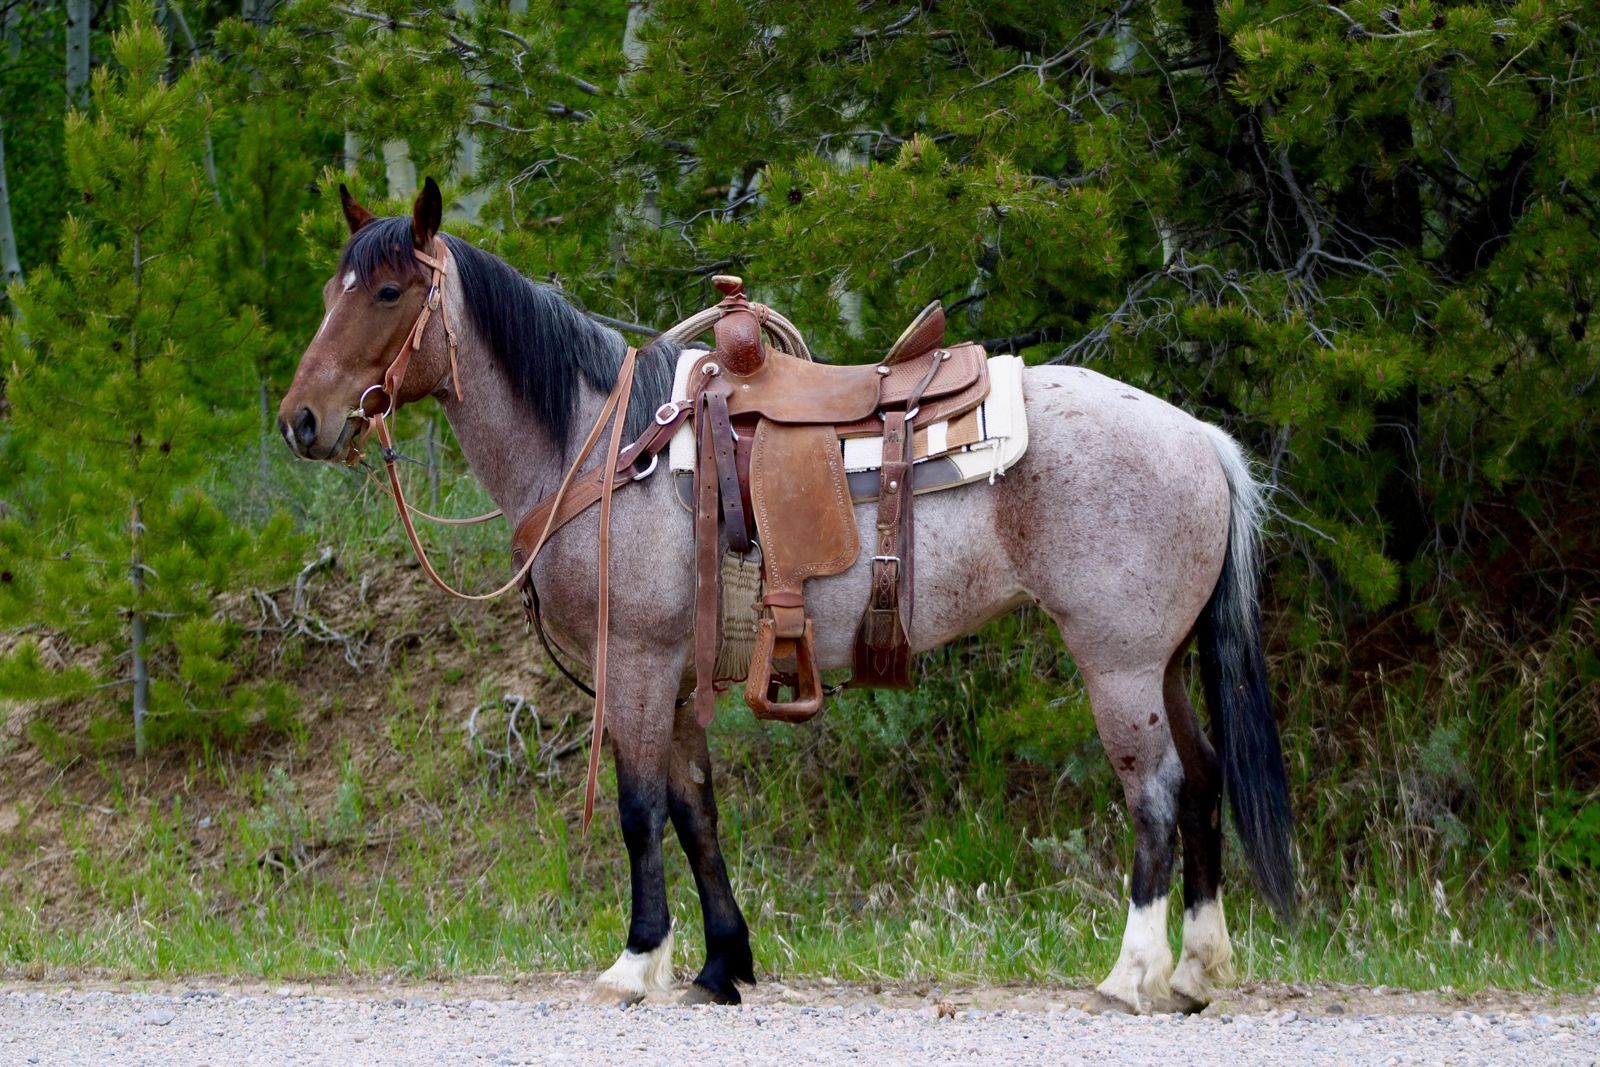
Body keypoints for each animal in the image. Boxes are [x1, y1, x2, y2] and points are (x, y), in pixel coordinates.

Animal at [277, 178, 1293, 1013]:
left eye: (388, 292)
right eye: (330, 291)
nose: (301, 422)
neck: (602, 445)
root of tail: (1200, 437)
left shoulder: (636, 663)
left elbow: (639, 808)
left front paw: (636, 960)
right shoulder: (679, 676)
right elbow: (696, 812)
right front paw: (722, 963)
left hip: (1119, 664)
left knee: (1157, 790)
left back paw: (1132, 972)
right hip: (1162, 663)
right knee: (1204, 776)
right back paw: (1197, 970)